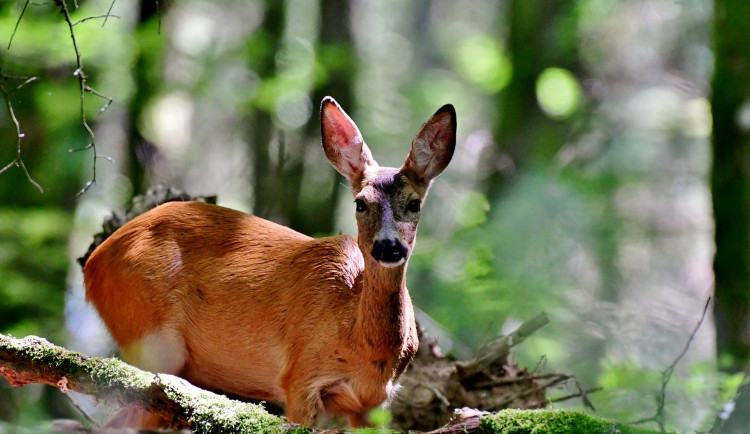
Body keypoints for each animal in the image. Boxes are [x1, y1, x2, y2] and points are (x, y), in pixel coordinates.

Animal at [82, 96, 458, 428]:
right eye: (360, 203)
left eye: (414, 203)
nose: (388, 247)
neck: (362, 346)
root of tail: (93, 264)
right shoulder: (300, 376)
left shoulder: (373, 403)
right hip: (149, 333)